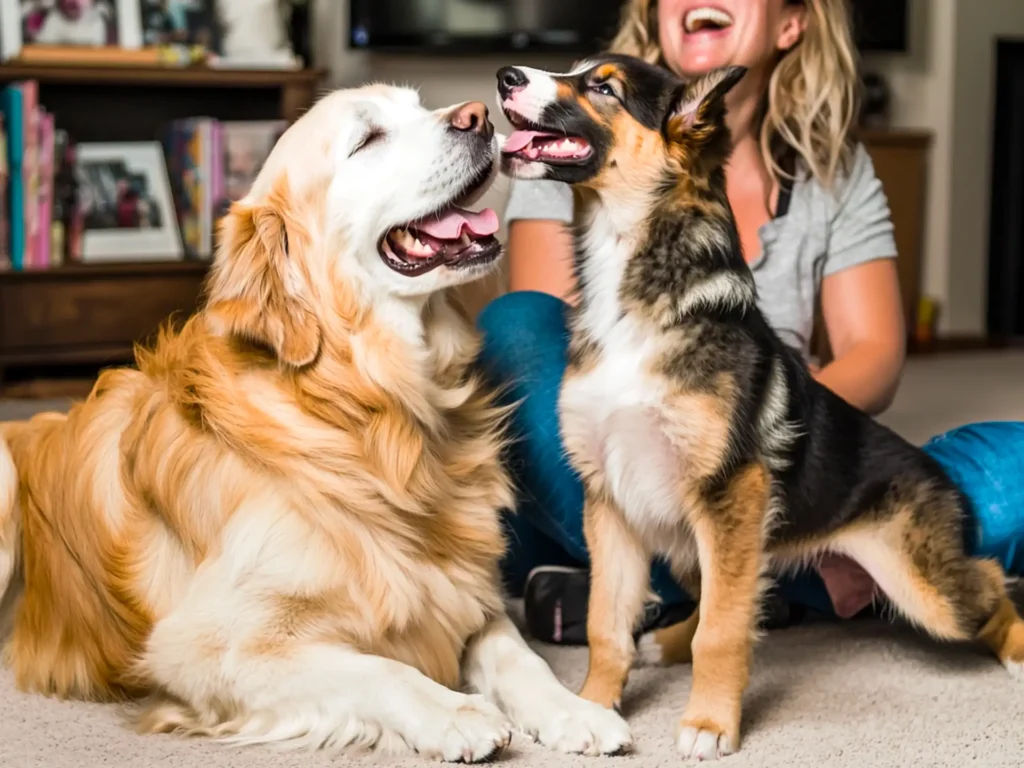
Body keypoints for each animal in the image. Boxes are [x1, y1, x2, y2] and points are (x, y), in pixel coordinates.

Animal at [0, 82, 630, 765]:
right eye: (367, 138)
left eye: (419, 106)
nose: (479, 115)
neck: (362, 409)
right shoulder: (199, 647)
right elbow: (375, 668)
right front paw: (456, 711)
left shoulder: (464, 590)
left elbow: (519, 658)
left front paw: (576, 709)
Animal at [495, 54, 1024, 765]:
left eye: (603, 87)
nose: (504, 75)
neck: (634, 276)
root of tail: (937, 478)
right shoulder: (610, 501)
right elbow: (609, 623)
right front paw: (592, 708)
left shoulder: (731, 490)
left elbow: (722, 633)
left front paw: (709, 723)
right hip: (700, 537)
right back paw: (662, 641)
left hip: (918, 584)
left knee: (989, 586)